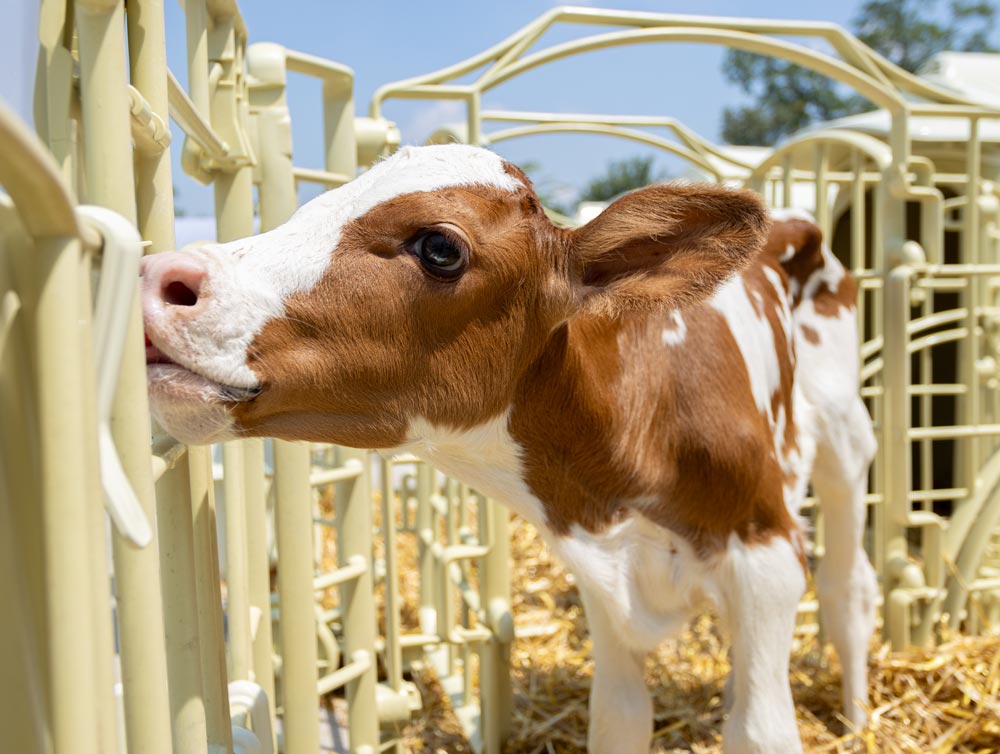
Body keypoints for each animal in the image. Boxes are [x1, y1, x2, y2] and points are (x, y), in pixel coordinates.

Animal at [141, 144, 876, 748]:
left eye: (440, 247)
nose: (160, 275)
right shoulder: (602, 583)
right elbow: (620, 719)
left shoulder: (765, 558)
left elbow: (762, 729)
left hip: (845, 439)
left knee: (849, 587)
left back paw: (857, 718)